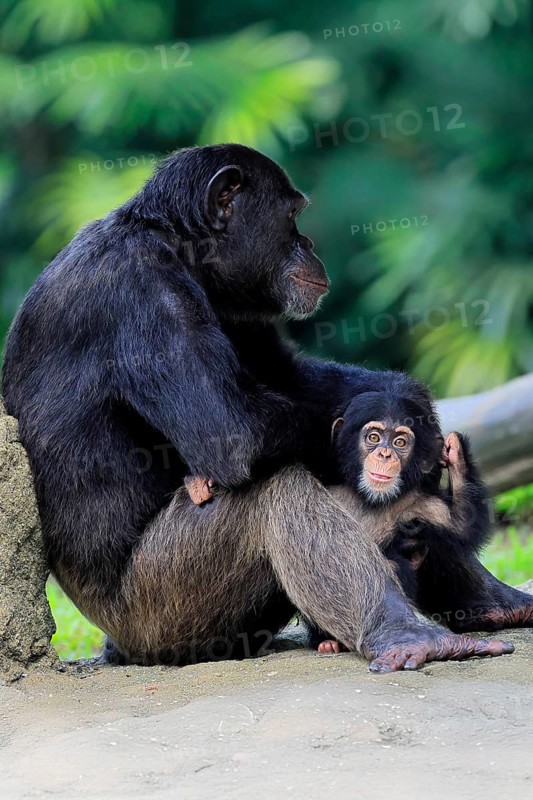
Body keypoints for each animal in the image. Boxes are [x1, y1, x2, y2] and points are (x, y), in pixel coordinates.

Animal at [2, 144, 525, 674]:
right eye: (291, 216)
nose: (308, 241)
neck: (176, 247)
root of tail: (118, 646)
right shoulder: (143, 290)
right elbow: (231, 430)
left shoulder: (236, 303)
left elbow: (289, 375)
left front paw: (409, 403)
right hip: (164, 609)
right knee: (276, 490)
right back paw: (408, 635)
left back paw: (496, 604)